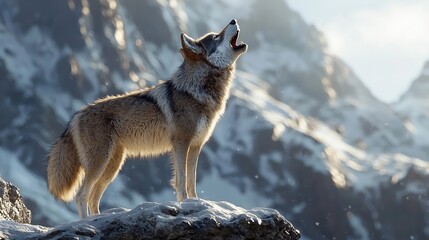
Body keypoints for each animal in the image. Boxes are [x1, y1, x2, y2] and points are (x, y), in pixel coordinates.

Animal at [46, 19, 247, 218]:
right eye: (216, 36)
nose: (233, 20)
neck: (198, 91)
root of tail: (76, 115)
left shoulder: (196, 146)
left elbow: (191, 182)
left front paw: (196, 202)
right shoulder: (181, 144)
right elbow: (181, 181)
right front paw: (185, 203)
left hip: (113, 166)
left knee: (93, 198)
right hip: (100, 163)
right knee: (81, 195)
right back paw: (87, 221)